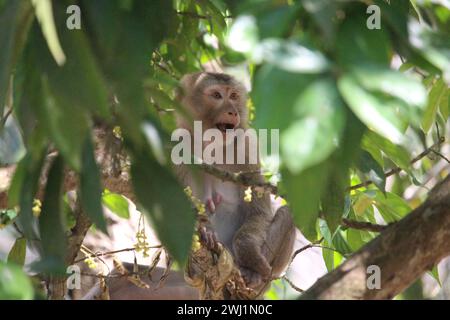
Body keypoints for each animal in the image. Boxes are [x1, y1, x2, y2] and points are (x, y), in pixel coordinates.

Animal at [174, 72, 298, 290]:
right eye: (216, 95)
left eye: (233, 96)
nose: (232, 111)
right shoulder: (175, 146)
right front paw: (206, 229)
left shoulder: (246, 146)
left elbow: (259, 212)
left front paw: (249, 254)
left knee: (287, 213)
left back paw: (253, 274)